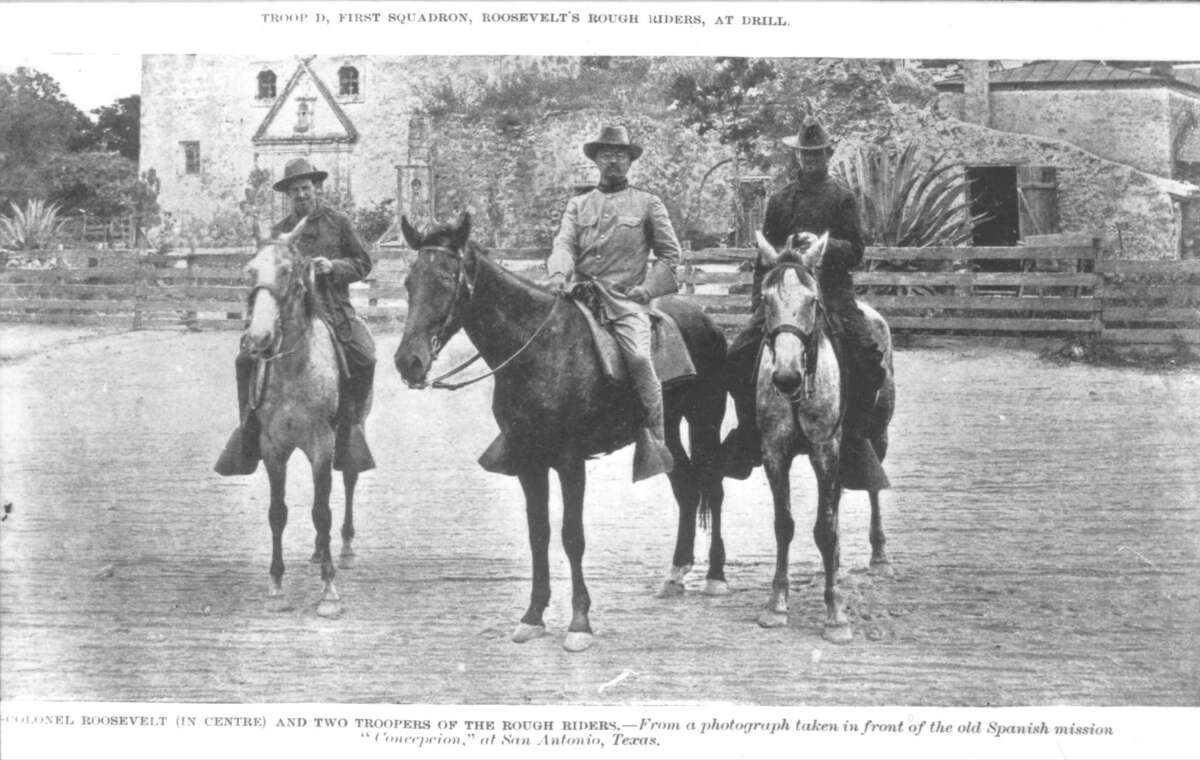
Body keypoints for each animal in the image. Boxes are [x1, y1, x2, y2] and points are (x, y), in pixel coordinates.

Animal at [398, 214, 724, 653]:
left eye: (448, 277)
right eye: (409, 281)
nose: (408, 361)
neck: (539, 349)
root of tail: (704, 316)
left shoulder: (571, 461)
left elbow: (572, 536)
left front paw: (579, 622)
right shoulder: (528, 462)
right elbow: (539, 533)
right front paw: (533, 616)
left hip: (706, 420)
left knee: (714, 488)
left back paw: (716, 576)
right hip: (666, 431)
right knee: (686, 486)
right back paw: (675, 573)